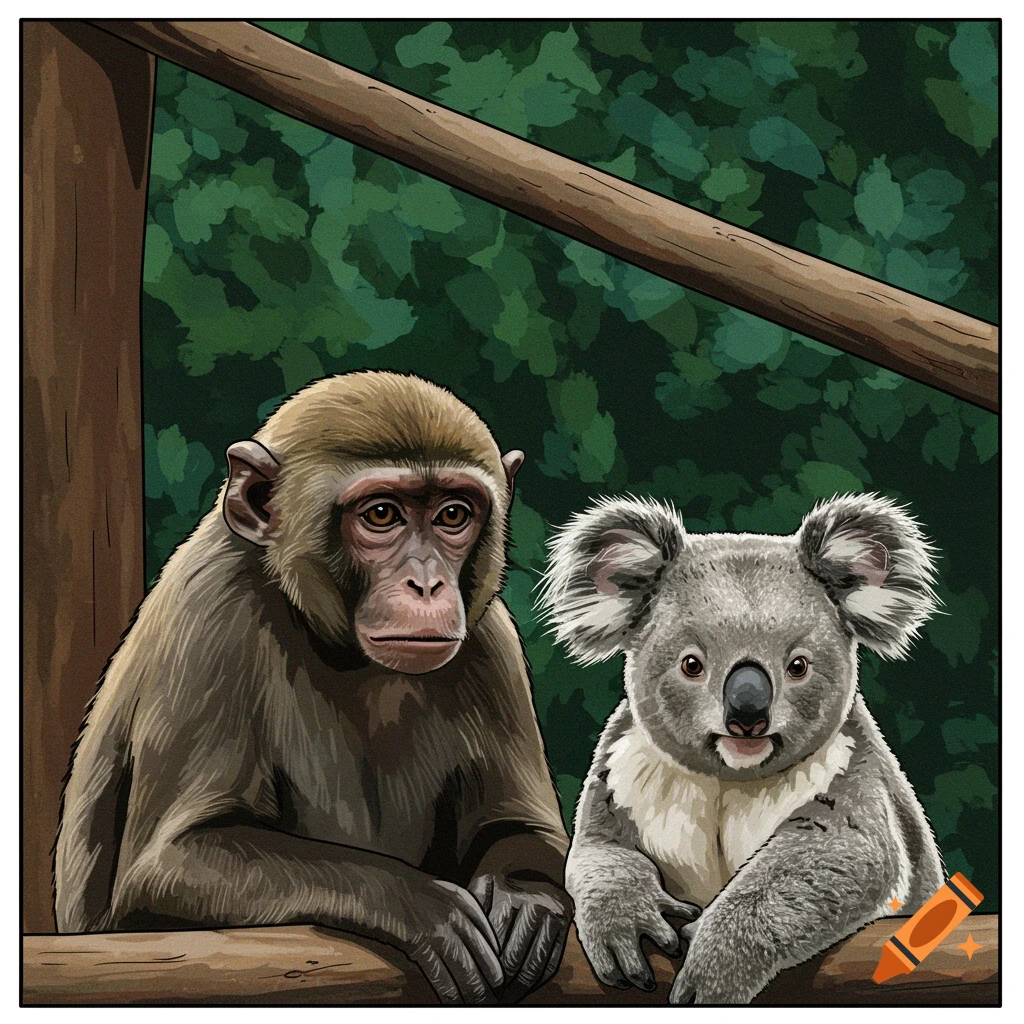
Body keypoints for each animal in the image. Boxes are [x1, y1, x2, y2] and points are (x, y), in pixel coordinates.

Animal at [55, 371, 571, 1006]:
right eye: (381, 515)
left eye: (453, 515)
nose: (427, 582)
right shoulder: (213, 611)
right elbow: (173, 860)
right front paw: (415, 901)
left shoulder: (490, 641)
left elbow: (526, 830)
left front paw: (526, 894)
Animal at [538, 493, 943, 1004]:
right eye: (691, 664)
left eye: (798, 666)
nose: (748, 714)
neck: (726, 778)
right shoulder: (622, 772)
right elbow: (599, 853)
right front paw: (626, 926)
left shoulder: (849, 772)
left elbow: (838, 857)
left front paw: (712, 972)